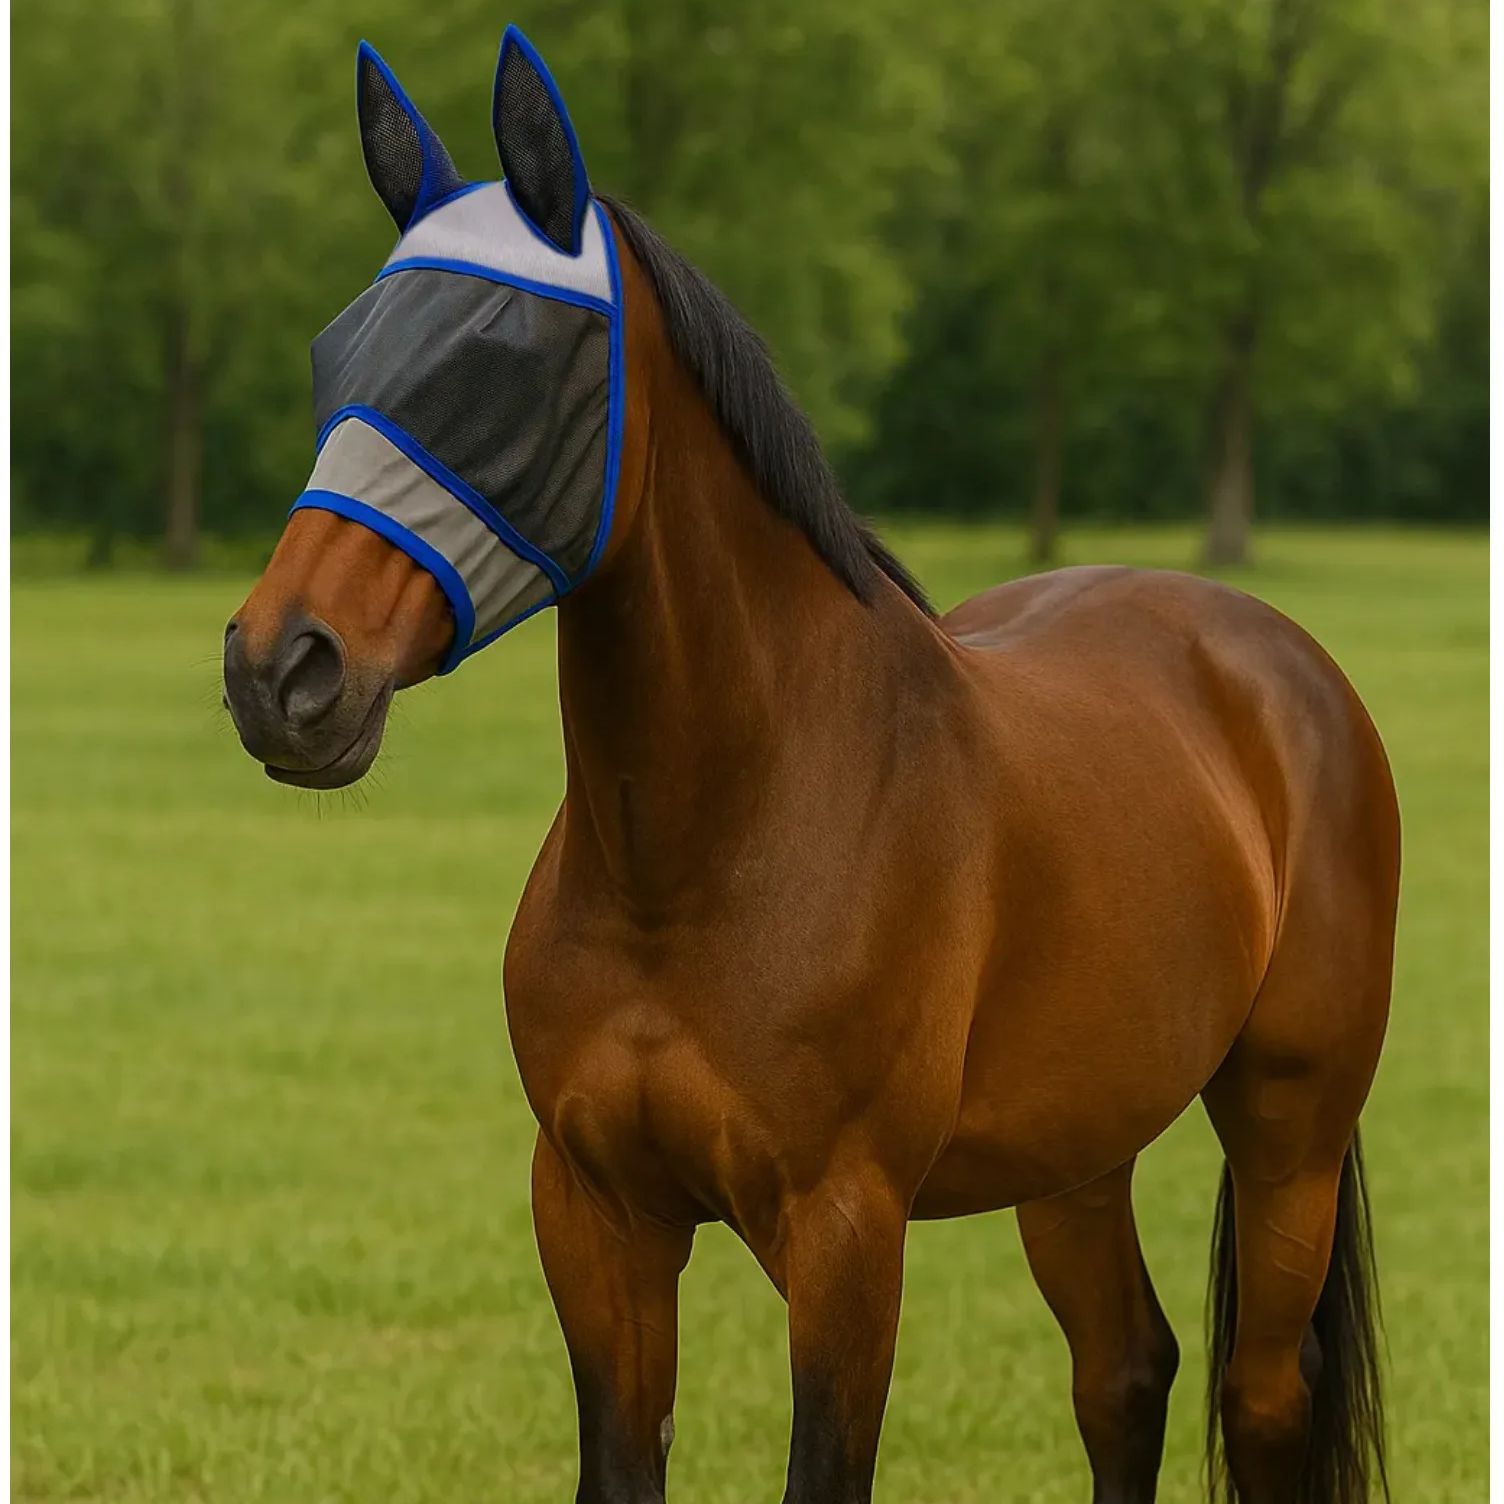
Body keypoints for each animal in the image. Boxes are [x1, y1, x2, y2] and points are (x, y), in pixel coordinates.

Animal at [223, 29, 1398, 1504]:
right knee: (1125, 1376)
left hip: (1291, 1128)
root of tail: (1278, 666)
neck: (703, 849)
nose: (280, 673)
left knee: (1261, 1399)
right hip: (1076, 1151)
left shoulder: (845, 1233)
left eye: (506, 358)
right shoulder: (595, 1217)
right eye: (340, 351)